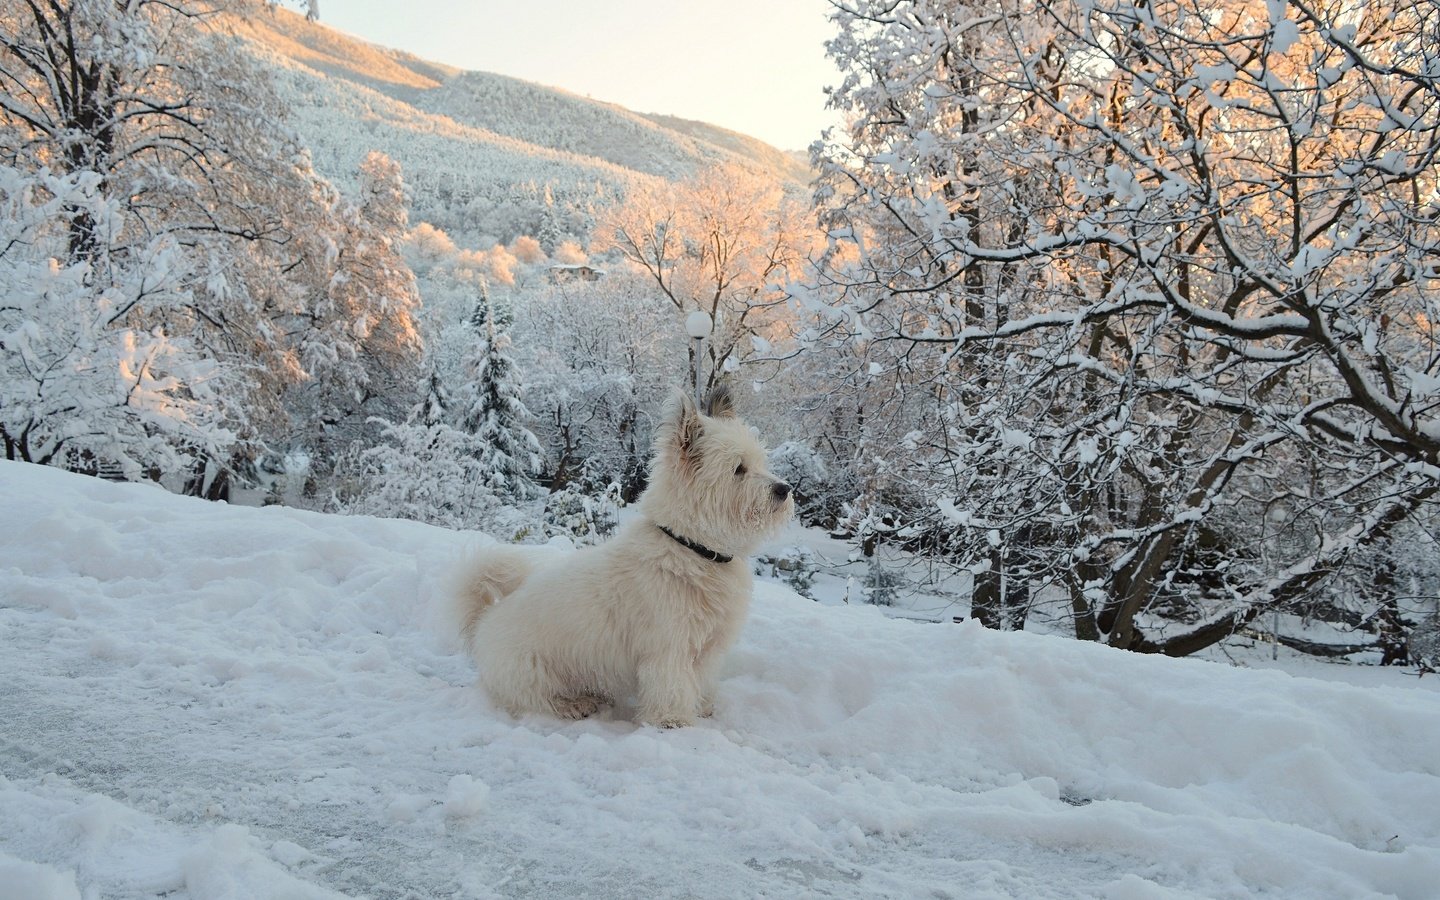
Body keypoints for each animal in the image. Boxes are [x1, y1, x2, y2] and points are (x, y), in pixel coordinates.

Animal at [446, 385, 794, 731]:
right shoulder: (668, 648)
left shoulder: (707, 648)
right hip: (532, 671)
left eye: (760, 462)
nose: (785, 488)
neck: (691, 547)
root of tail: (484, 622)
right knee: (540, 700)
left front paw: (704, 708)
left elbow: (702, 681)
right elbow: (671, 688)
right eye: (738, 469)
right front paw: (673, 722)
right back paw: (576, 704)